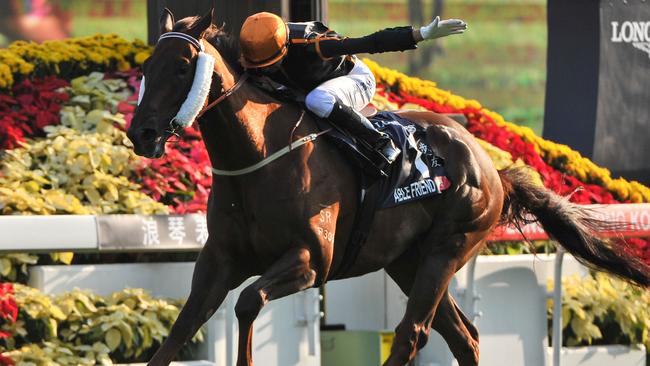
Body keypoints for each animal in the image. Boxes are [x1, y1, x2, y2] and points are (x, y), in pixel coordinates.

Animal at [128, 8, 648, 366]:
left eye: (182, 67)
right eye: (150, 64)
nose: (142, 134)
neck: (258, 156)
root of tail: (492, 168)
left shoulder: (310, 260)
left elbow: (248, 301)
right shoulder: (220, 260)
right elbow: (182, 329)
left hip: (447, 246)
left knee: (412, 332)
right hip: (407, 260)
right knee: (462, 336)